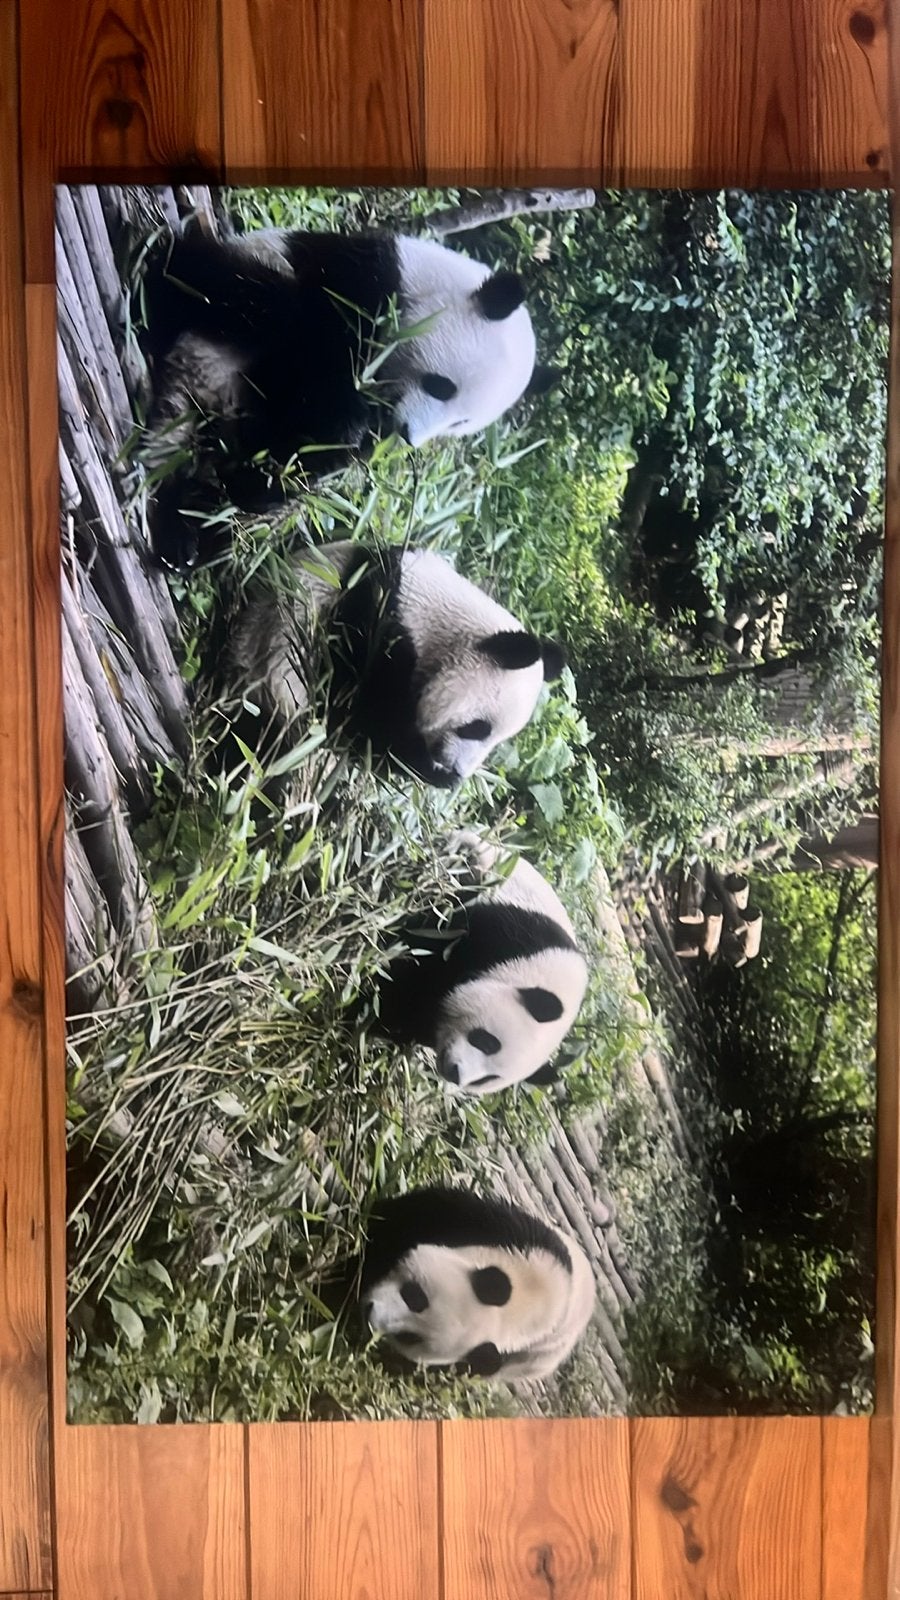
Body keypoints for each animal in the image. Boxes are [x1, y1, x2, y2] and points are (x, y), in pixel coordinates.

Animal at [141, 223, 558, 567]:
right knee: (227, 291)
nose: (408, 434)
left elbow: (329, 453)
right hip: (219, 339)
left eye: (460, 423)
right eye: (442, 386)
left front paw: (268, 477)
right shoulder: (358, 283)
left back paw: (193, 531)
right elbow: (318, 349)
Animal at [227, 542, 566, 788]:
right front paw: (427, 768)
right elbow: (358, 715)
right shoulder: (371, 620)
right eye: (476, 729)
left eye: (500, 740)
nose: (458, 771)